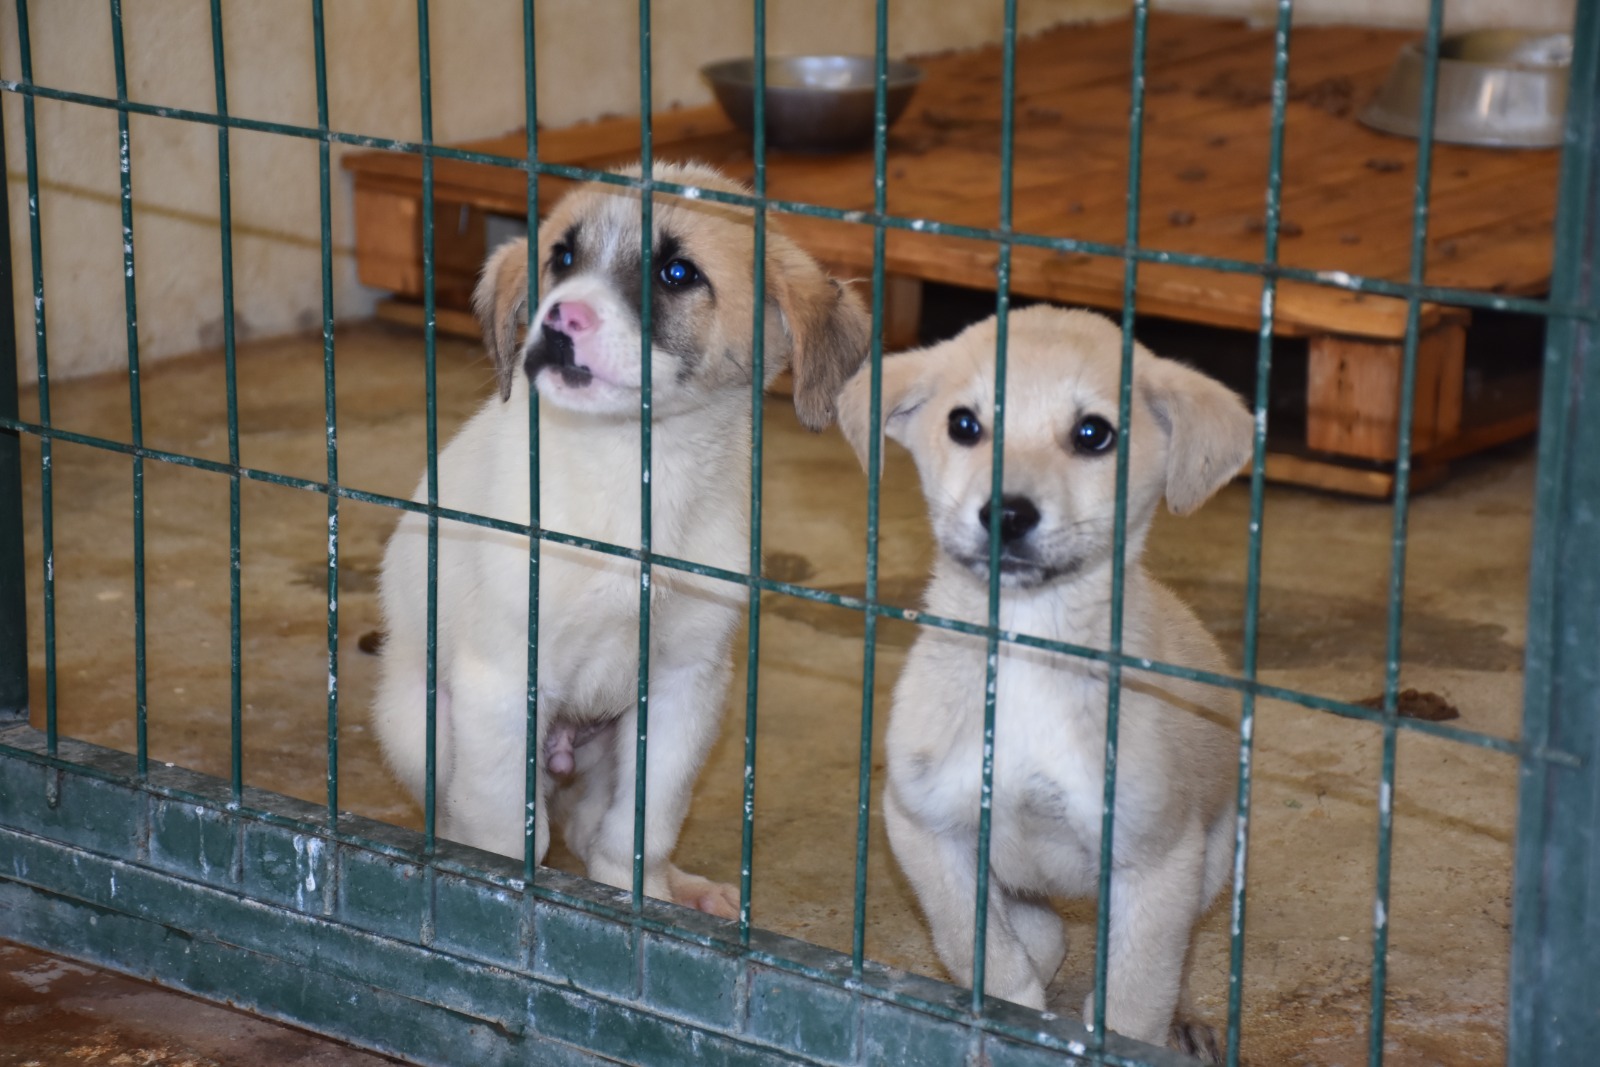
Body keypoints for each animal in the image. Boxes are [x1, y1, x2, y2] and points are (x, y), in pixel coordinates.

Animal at [369, 163, 870, 921]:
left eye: (676, 272)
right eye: (561, 258)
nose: (557, 320)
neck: (634, 477)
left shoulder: (685, 686)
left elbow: (640, 829)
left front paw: (647, 904)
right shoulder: (503, 678)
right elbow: (501, 830)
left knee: (585, 824)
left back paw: (687, 890)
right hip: (421, 721)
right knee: (468, 813)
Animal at [838, 303, 1248, 1055]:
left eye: (1094, 434)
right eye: (963, 424)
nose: (1005, 512)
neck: (1027, 645)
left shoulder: (1157, 864)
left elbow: (1135, 997)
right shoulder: (923, 827)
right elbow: (986, 952)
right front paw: (1009, 1010)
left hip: (1214, 858)